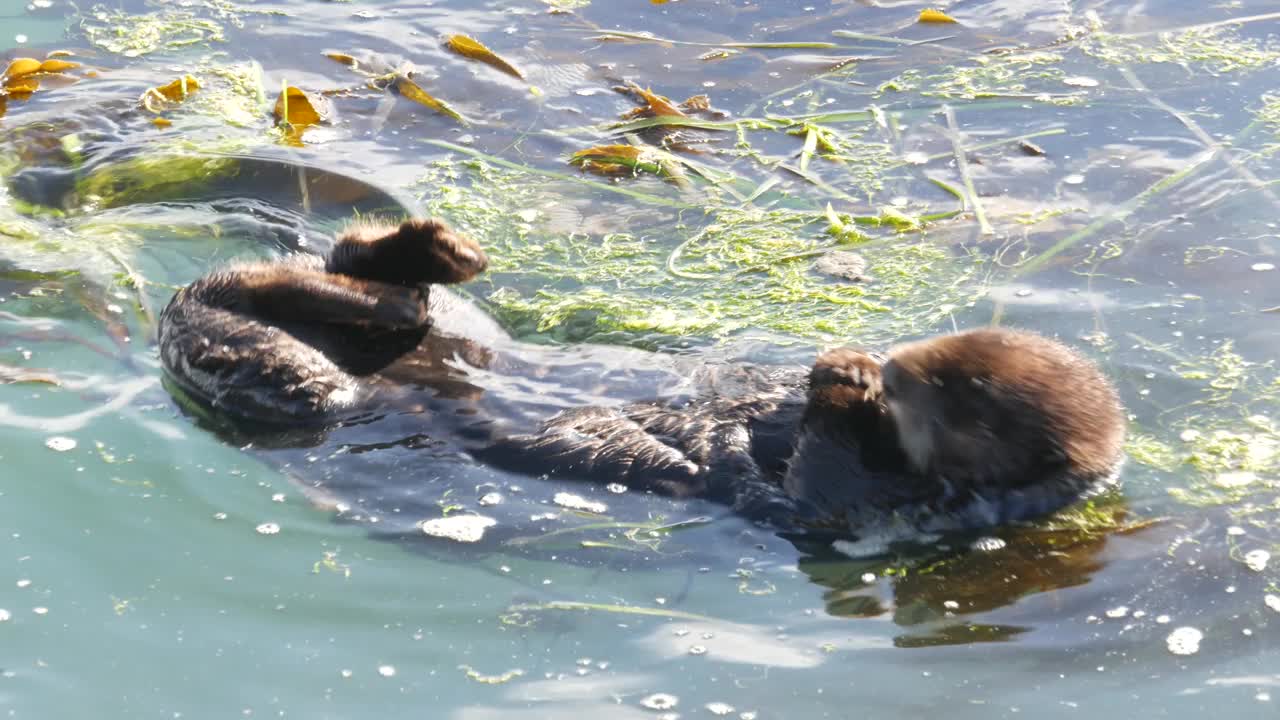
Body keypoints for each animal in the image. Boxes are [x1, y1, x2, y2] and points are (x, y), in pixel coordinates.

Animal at [154, 215, 1126, 535]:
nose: (892, 366)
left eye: (953, 393)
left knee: (286, 332)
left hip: (285, 368)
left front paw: (842, 382)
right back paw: (434, 249)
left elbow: (816, 477)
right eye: (940, 355)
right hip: (454, 328)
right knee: (357, 272)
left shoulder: (862, 509)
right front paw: (832, 365)